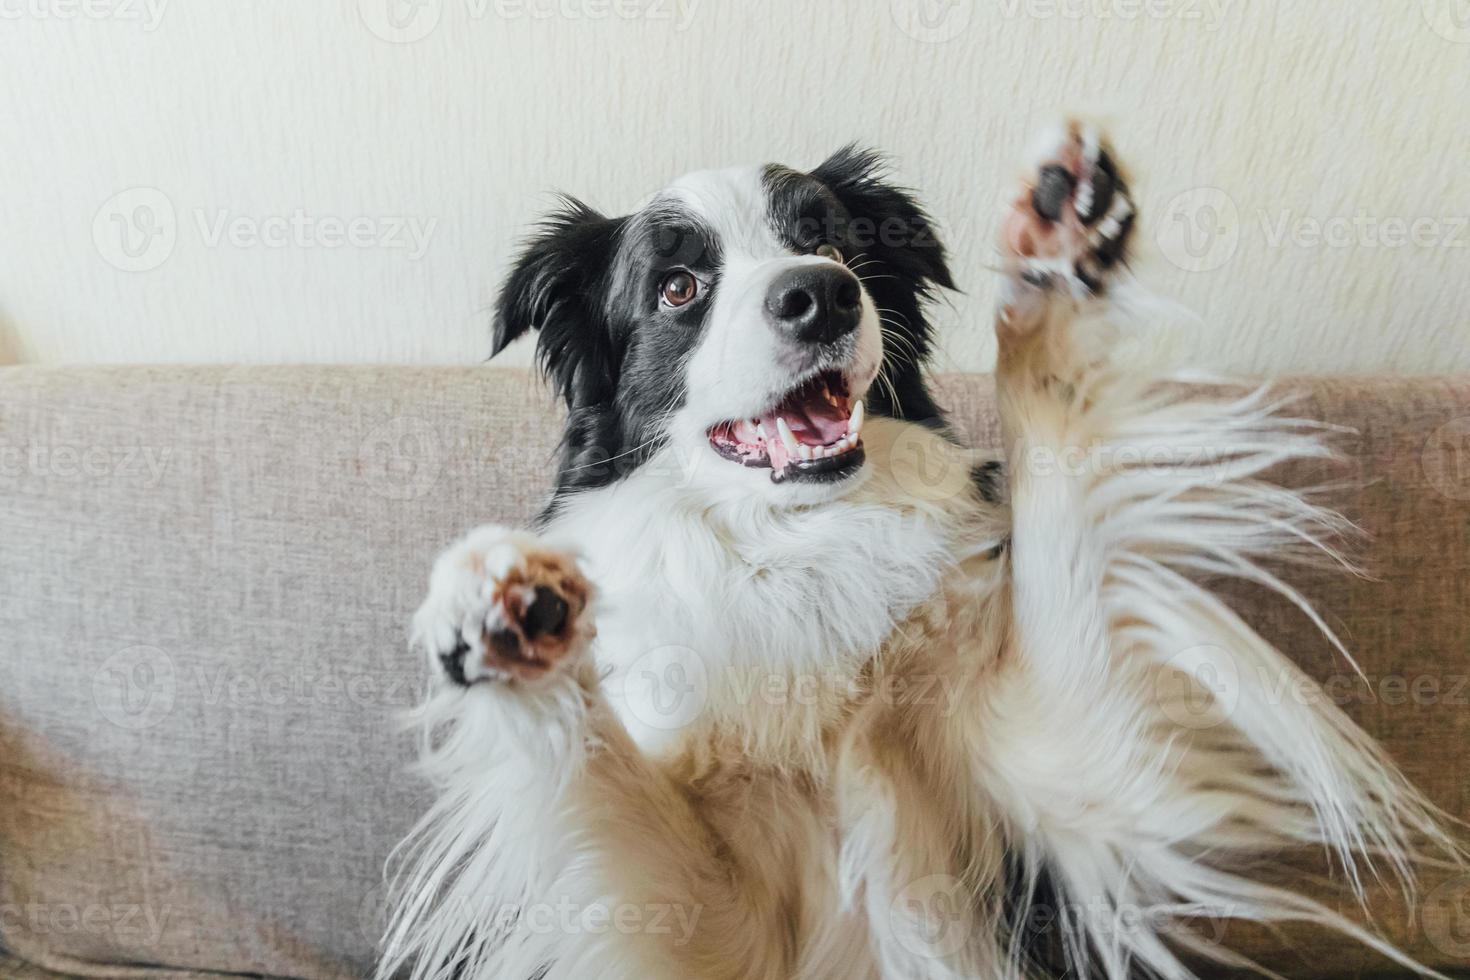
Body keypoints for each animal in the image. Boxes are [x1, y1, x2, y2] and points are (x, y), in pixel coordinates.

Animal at [376, 124, 1458, 980]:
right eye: (678, 286)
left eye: (827, 240)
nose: (820, 295)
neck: (797, 544)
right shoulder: (709, 923)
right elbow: (595, 767)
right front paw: (498, 608)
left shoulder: (1047, 787)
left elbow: (1059, 504)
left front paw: (1055, 274)